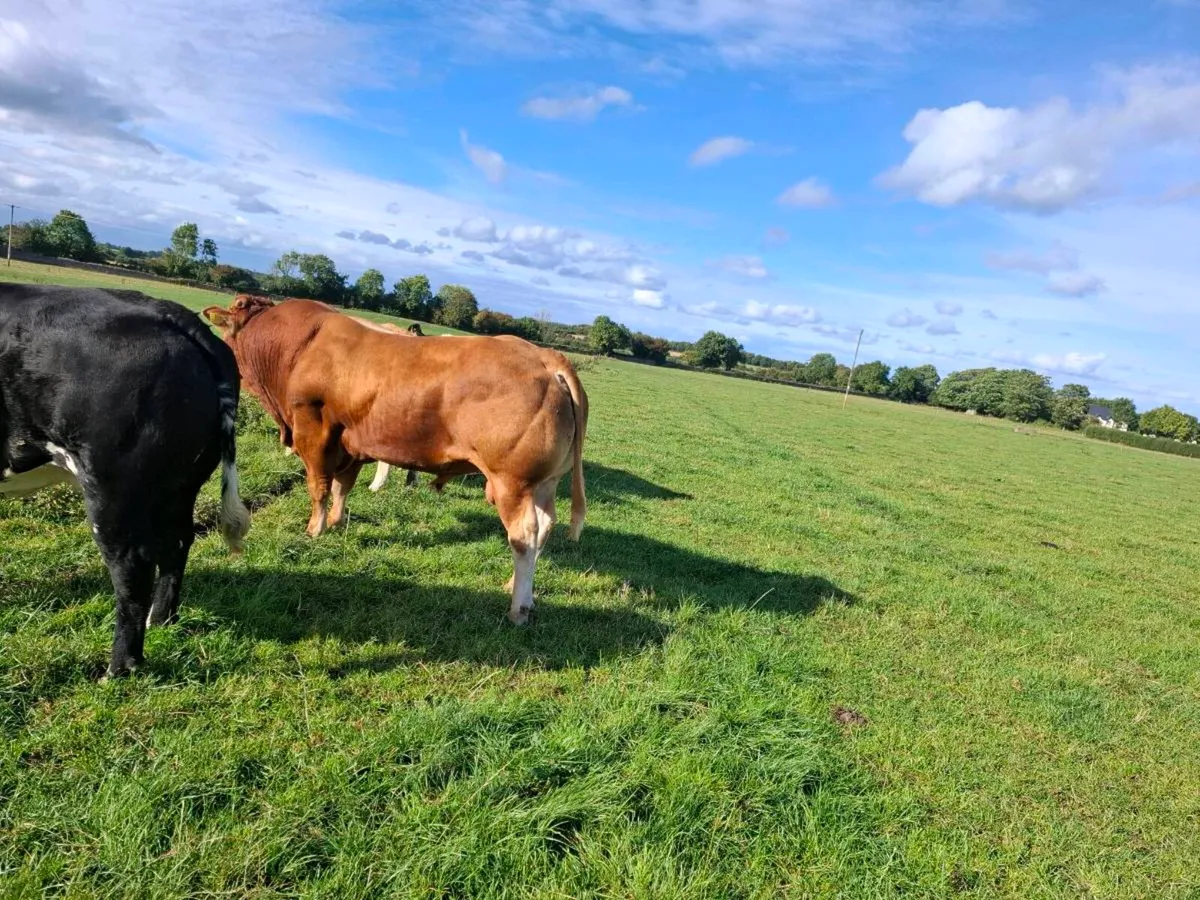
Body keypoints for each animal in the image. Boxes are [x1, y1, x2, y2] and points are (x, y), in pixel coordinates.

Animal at [1, 284, 251, 677]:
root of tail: (169, 314)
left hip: (111, 487)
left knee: (132, 571)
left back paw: (118, 668)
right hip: (181, 484)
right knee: (179, 542)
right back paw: (162, 620)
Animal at [202, 294, 586, 624]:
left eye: (235, 312)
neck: (301, 347)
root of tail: (546, 356)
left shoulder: (313, 430)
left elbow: (319, 486)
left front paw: (315, 529)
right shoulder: (351, 442)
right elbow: (342, 486)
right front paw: (338, 521)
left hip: (511, 482)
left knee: (524, 534)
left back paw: (518, 606)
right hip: (544, 482)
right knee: (545, 525)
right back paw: (516, 587)